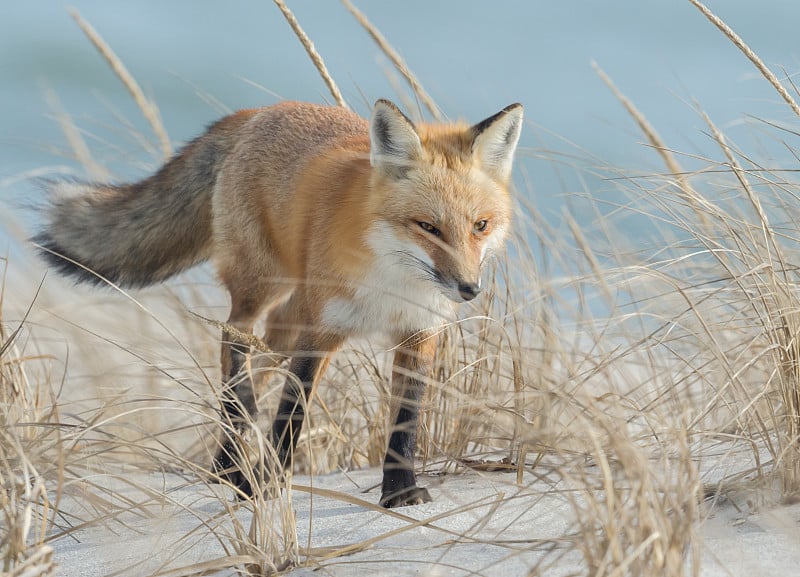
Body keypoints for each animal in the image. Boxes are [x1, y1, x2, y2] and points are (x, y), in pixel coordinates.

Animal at [36, 99, 524, 504]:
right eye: (428, 227)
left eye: (480, 225)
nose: (469, 289)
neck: (391, 283)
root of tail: (259, 112)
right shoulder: (320, 332)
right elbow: (291, 414)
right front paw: (266, 487)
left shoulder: (419, 332)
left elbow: (405, 420)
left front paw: (399, 493)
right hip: (263, 286)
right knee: (235, 347)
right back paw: (233, 456)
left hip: (290, 315)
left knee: (261, 356)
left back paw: (226, 463)